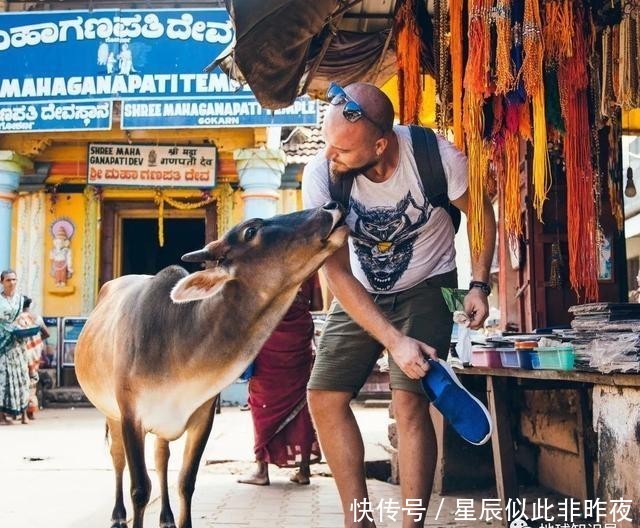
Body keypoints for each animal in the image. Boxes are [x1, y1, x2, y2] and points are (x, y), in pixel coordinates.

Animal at [75, 203, 348, 528]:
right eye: (251, 231)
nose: (331, 206)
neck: (180, 344)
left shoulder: (202, 416)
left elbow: (186, 482)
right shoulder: (131, 416)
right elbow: (140, 488)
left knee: (162, 458)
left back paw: (166, 517)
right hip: (110, 413)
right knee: (117, 458)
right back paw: (118, 515)